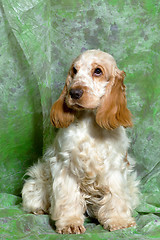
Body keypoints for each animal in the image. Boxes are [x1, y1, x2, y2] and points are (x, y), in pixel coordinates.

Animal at [21, 49, 139, 234]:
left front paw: (119, 221)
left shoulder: (114, 168)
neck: (90, 122)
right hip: (36, 182)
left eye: (97, 71)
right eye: (74, 71)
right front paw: (70, 223)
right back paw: (41, 209)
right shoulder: (65, 166)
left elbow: (116, 197)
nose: (74, 93)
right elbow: (68, 199)